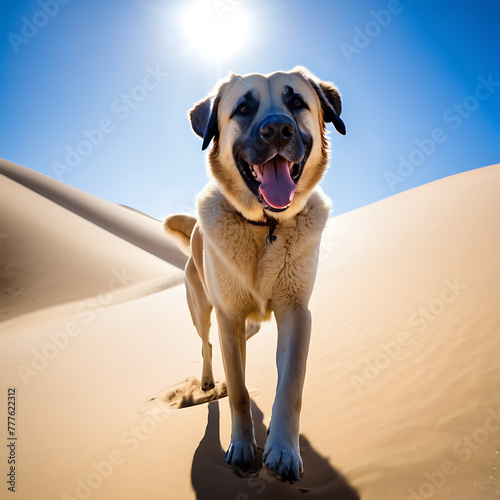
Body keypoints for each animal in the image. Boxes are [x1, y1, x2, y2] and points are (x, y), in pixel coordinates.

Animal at [164, 65, 344, 480]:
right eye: (244, 108)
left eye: (297, 102)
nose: (277, 129)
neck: (265, 228)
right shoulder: (227, 315)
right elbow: (240, 393)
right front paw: (243, 447)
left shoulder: (296, 313)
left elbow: (290, 386)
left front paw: (283, 451)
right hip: (201, 309)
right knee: (208, 344)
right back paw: (210, 380)